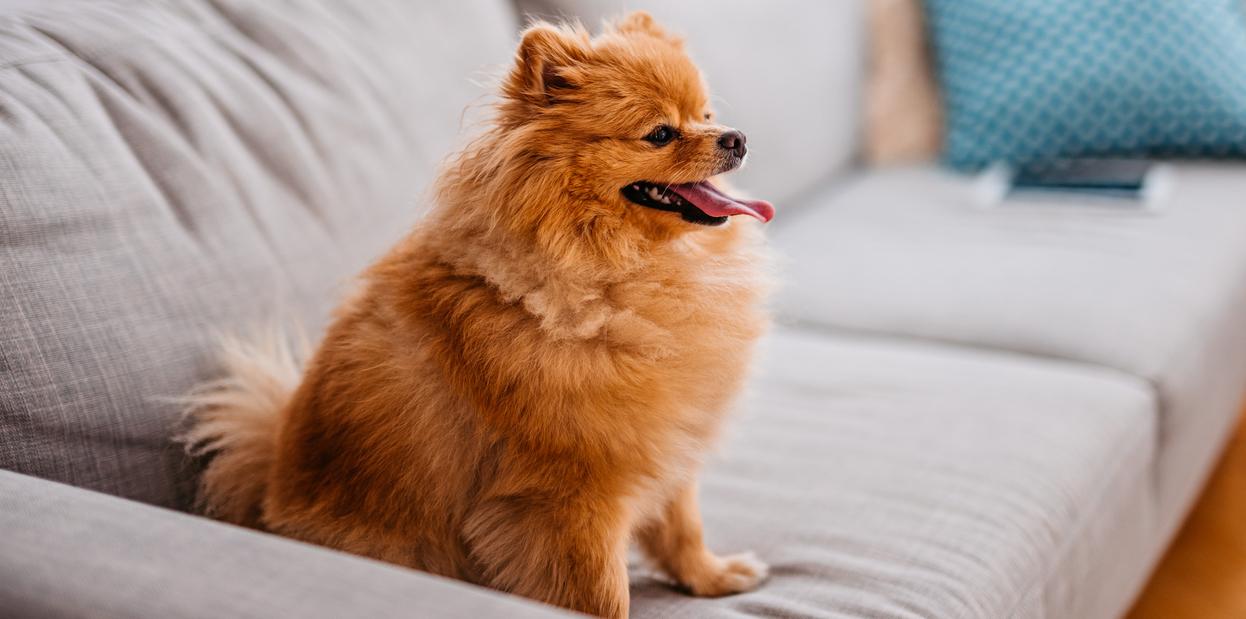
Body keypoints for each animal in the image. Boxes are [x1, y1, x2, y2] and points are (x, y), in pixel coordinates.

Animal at [181, 12, 772, 615]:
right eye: (660, 133)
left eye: (706, 116)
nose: (737, 137)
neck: (619, 272)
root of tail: (268, 492)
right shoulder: (571, 493)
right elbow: (603, 592)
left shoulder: (671, 438)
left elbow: (682, 527)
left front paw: (712, 576)